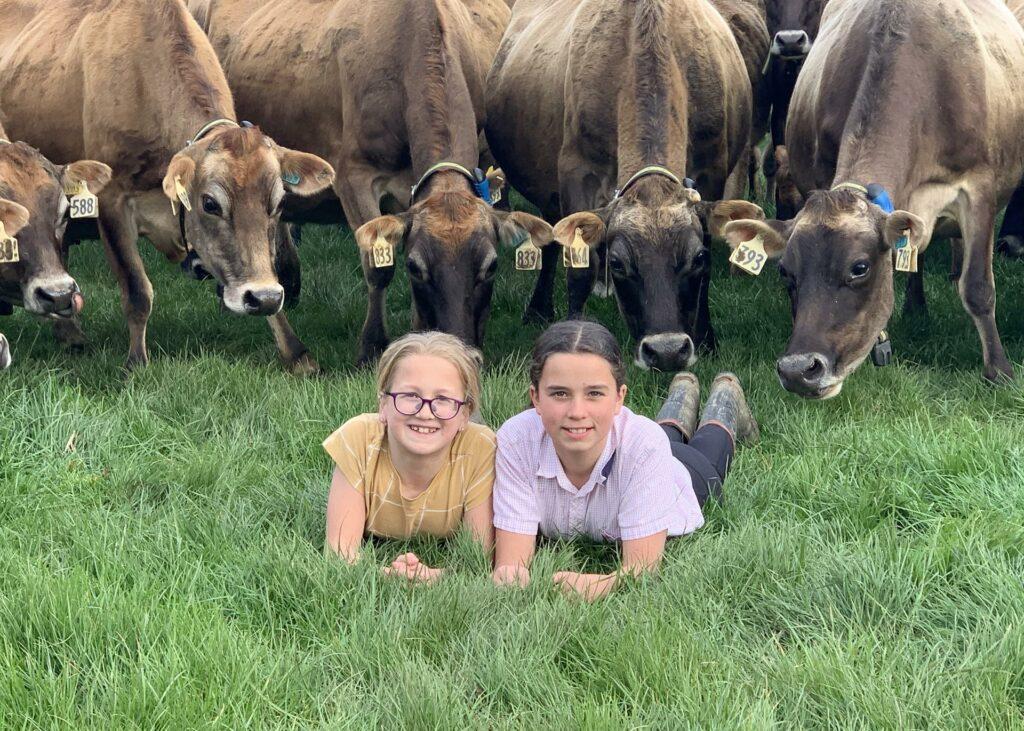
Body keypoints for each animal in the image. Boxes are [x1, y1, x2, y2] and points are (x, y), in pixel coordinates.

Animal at [0, 0, 333, 372]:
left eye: (277, 203)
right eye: (210, 203)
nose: (262, 298)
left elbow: (266, 267)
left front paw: (295, 351)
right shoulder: (112, 204)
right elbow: (137, 291)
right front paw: (136, 362)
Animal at [187, 0, 548, 362]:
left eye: (492, 266)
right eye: (416, 268)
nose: (459, 348)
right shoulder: (354, 176)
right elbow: (378, 266)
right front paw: (372, 346)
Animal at [483, 0, 757, 370]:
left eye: (696, 258)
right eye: (618, 263)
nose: (667, 351)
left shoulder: (711, 171)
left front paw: (707, 340)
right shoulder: (577, 173)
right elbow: (578, 267)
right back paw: (539, 308)